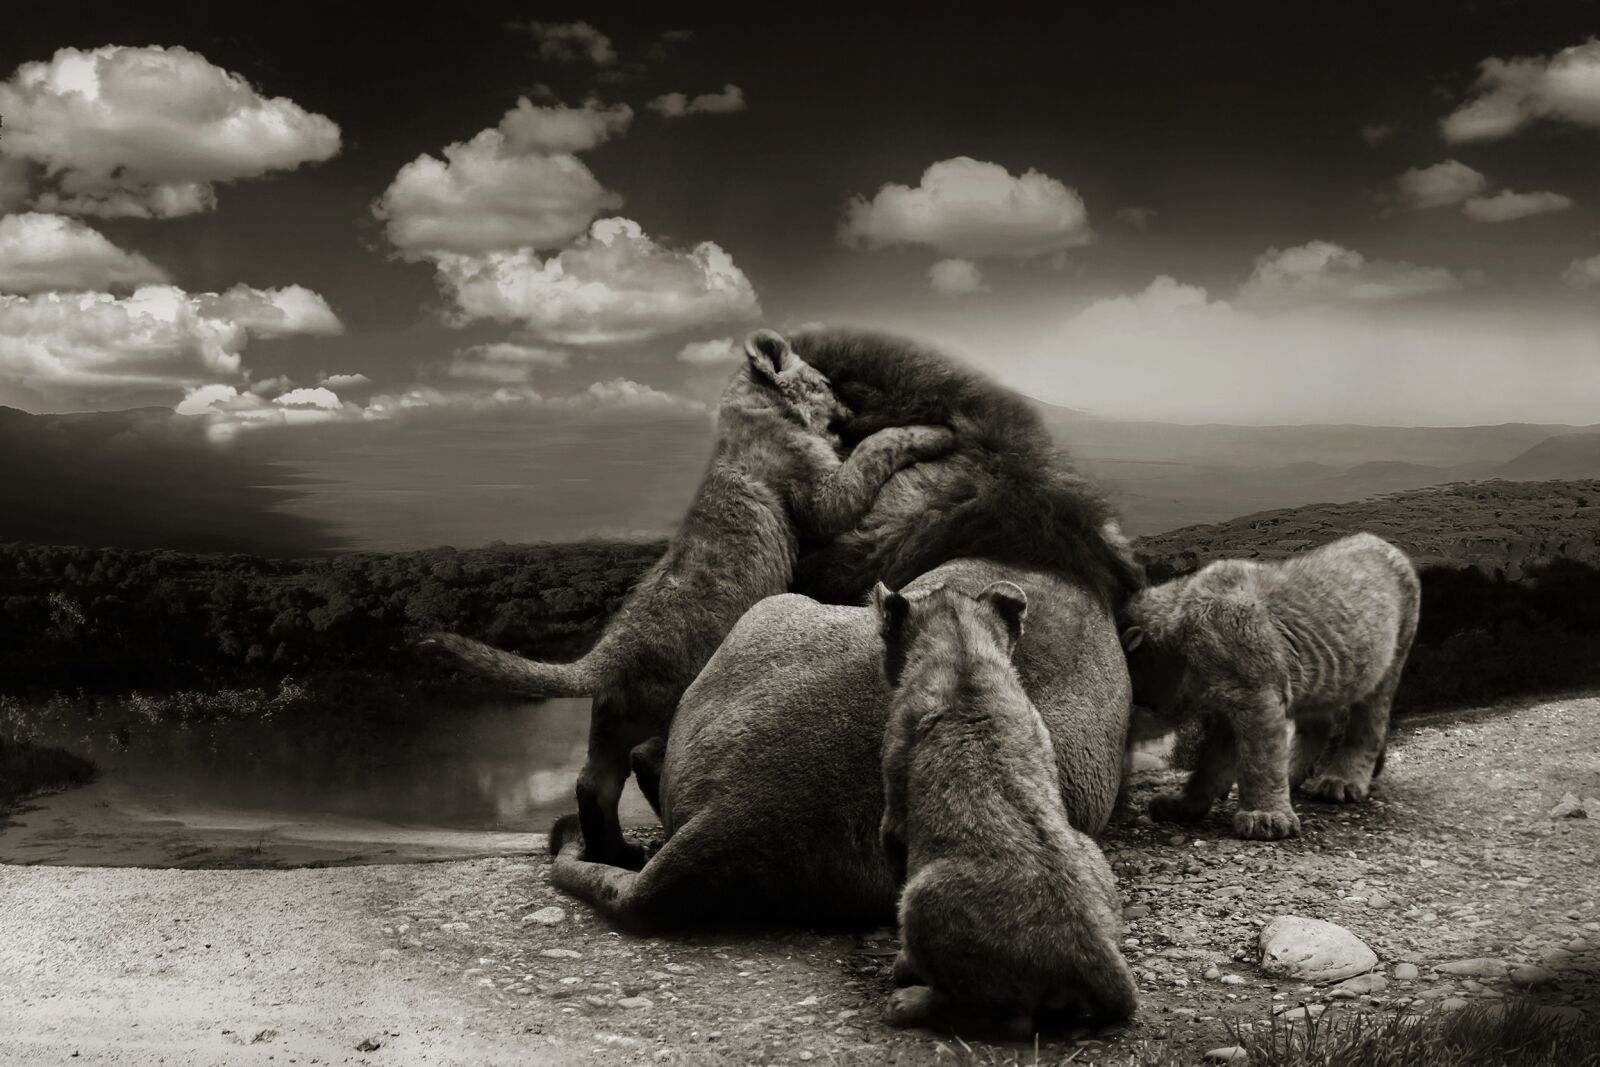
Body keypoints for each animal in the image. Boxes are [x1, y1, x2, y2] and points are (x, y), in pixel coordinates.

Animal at [425, 329, 954, 867]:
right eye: (824, 383)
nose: (849, 408)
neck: (752, 411)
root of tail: (611, 649)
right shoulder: (825, 494)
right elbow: (875, 448)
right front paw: (936, 431)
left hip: (609, 723)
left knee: (593, 783)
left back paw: (618, 855)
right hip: (674, 698)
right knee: (648, 759)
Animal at [874, 580, 1137, 1035]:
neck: (963, 650)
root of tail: (1091, 949)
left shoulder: (894, 817)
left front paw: (904, 964)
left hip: (923, 896)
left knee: (999, 1017)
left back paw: (909, 1002)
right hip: (1090, 849)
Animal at [1118, 532, 1420, 840]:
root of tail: (1377, 540)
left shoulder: (1254, 696)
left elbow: (1259, 758)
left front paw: (1266, 817)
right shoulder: (1230, 704)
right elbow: (1211, 761)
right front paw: (1185, 804)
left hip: (1389, 662)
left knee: (1368, 722)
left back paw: (1342, 780)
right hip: (1322, 677)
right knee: (1318, 724)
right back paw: (1295, 773)